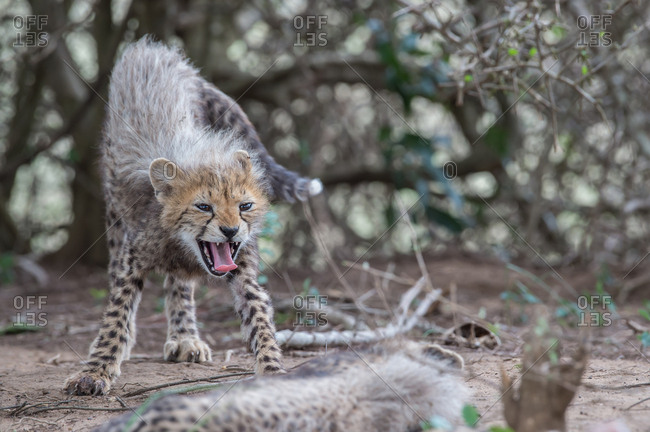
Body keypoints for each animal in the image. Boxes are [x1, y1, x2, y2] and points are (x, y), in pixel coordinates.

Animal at [64, 36, 322, 396]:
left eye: (245, 206)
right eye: (204, 207)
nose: (230, 231)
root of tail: (155, 49)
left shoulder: (243, 270)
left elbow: (259, 317)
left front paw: (272, 371)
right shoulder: (132, 261)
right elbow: (116, 314)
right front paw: (95, 371)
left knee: (180, 285)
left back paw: (185, 337)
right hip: (114, 216)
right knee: (118, 272)